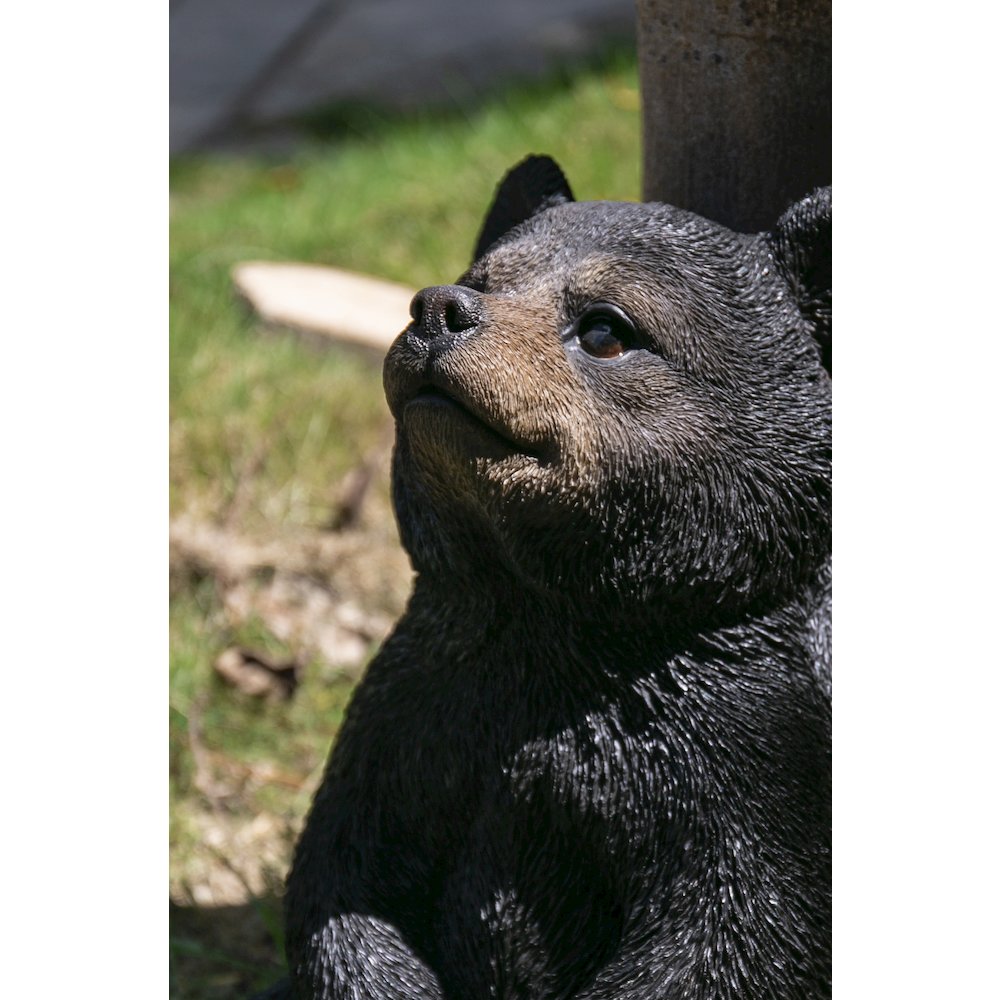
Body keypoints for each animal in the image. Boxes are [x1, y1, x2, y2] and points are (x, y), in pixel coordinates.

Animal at [276, 155, 832, 1000]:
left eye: (606, 328)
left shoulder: (757, 758)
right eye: (478, 277)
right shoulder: (410, 711)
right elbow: (338, 880)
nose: (438, 307)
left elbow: (733, 939)